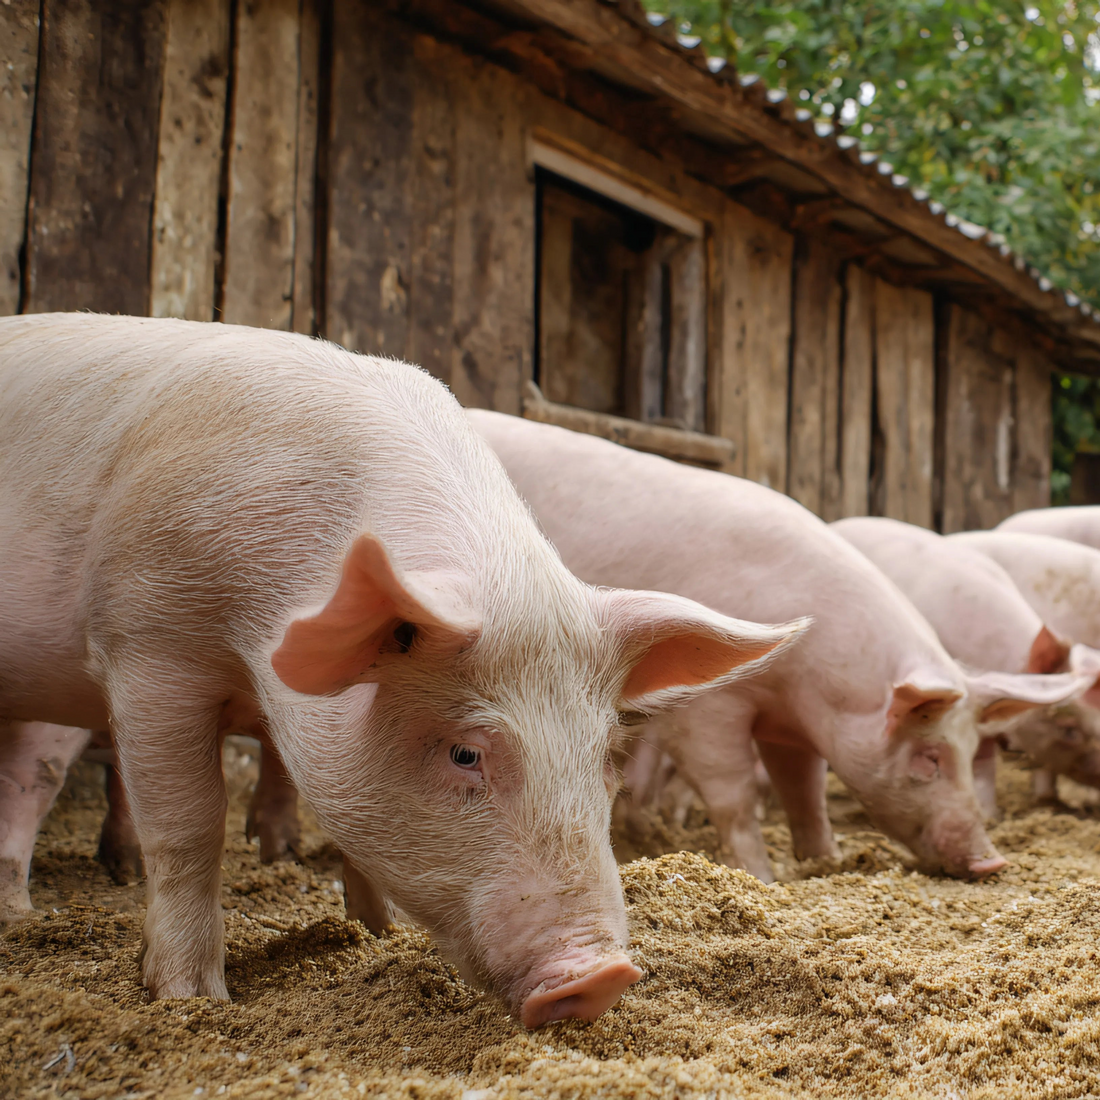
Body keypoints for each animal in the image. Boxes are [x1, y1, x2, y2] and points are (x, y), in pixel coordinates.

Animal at [0, 313, 806, 1027]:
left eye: (606, 755)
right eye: (464, 753)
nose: (601, 977)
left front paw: (373, 937)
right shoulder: (147, 640)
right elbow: (190, 826)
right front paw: (193, 1002)